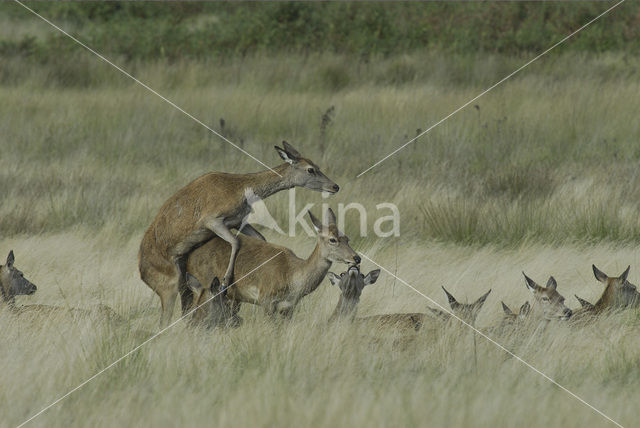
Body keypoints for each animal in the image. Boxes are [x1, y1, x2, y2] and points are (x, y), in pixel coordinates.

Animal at [140, 142, 340, 326]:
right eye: (310, 169)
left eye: (317, 166)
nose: (335, 186)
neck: (241, 188)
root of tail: (142, 272)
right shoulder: (212, 220)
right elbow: (236, 242)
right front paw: (225, 281)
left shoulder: (238, 221)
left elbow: (259, 238)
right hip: (169, 287)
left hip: (184, 286)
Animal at [185, 208, 360, 324]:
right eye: (332, 239)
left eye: (347, 238)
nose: (356, 258)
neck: (292, 276)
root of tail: (190, 256)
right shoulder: (266, 299)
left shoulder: (289, 308)